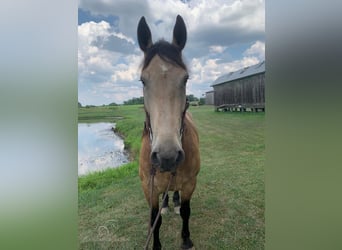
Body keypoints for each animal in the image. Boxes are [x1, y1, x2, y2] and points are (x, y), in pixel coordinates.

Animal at [136, 15, 200, 250]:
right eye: (143, 80)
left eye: (186, 78)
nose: (167, 156)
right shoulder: (148, 187)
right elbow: (155, 219)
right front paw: (156, 245)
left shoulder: (190, 183)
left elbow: (186, 211)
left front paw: (186, 239)